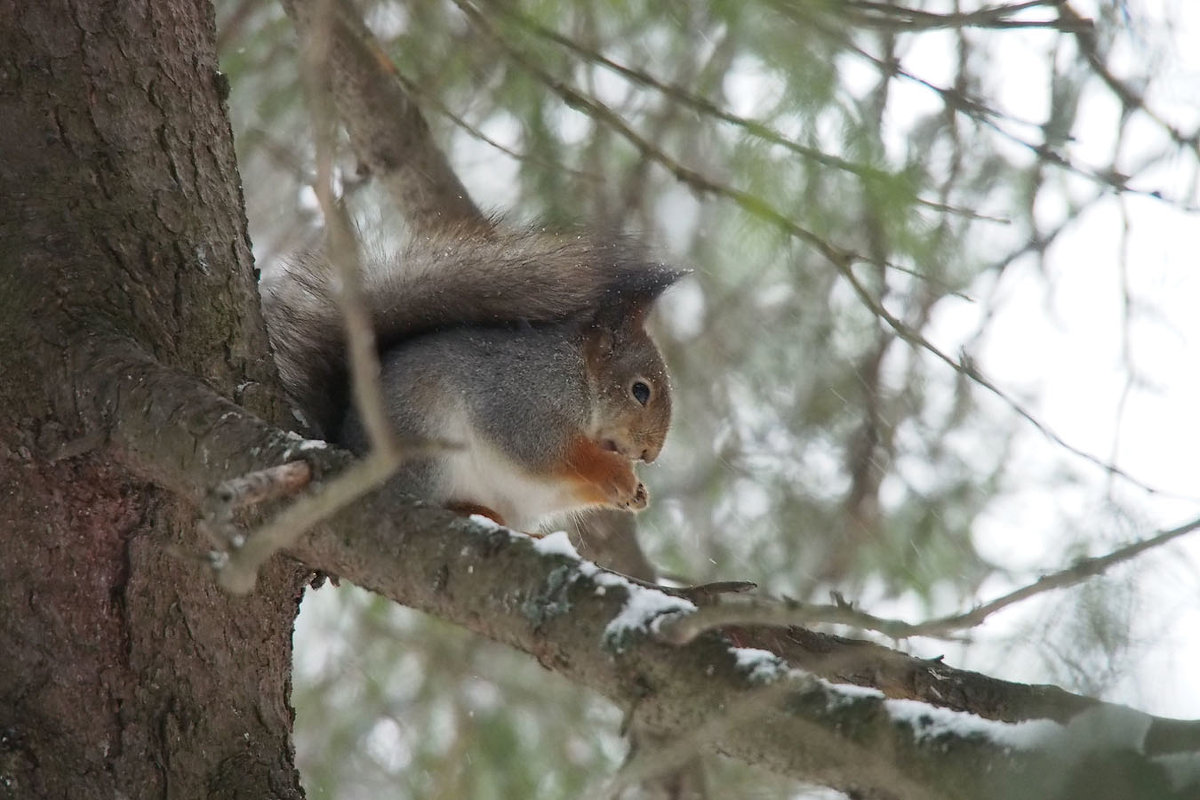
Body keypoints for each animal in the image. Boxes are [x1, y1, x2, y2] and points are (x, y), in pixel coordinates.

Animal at [261, 220, 686, 532]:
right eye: (640, 391)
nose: (649, 454)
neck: (577, 377)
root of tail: (346, 443)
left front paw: (634, 492)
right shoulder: (519, 400)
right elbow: (547, 451)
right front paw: (615, 472)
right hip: (426, 453)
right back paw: (469, 509)